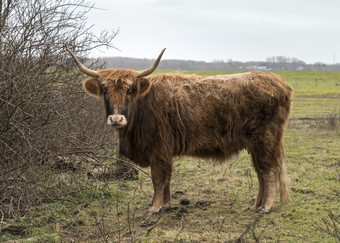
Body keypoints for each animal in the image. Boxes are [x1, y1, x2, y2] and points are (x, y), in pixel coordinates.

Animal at [65, 46, 292, 214]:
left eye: (130, 90)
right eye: (104, 90)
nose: (116, 119)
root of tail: (280, 82)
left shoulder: (158, 149)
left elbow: (158, 178)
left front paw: (155, 208)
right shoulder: (164, 151)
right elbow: (166, 179)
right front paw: (165, 205)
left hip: (265, 140)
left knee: (269, 171)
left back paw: (265, 206)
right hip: (257, 144)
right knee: (261, 172)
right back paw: (255, 205)